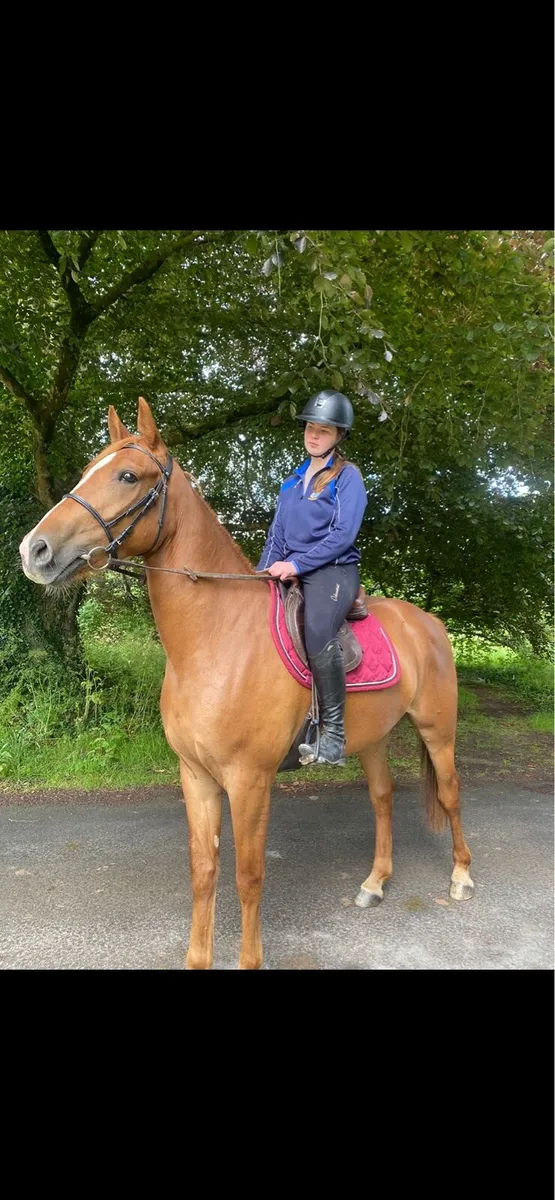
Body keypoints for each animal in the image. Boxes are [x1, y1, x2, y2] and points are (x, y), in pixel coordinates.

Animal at [19, 397, 474, 970]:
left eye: (127, 476)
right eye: (86, 471)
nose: (34, 550)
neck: (214, 642)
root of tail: (428, 622)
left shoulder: (249, 781)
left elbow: (248, 877)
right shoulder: (195, 776)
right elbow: (204, 871)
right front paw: (198, 958)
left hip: (438, 730)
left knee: (451, 794)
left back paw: (461, 877)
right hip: (372, 738)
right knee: (382, 797)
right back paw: (374, 882)